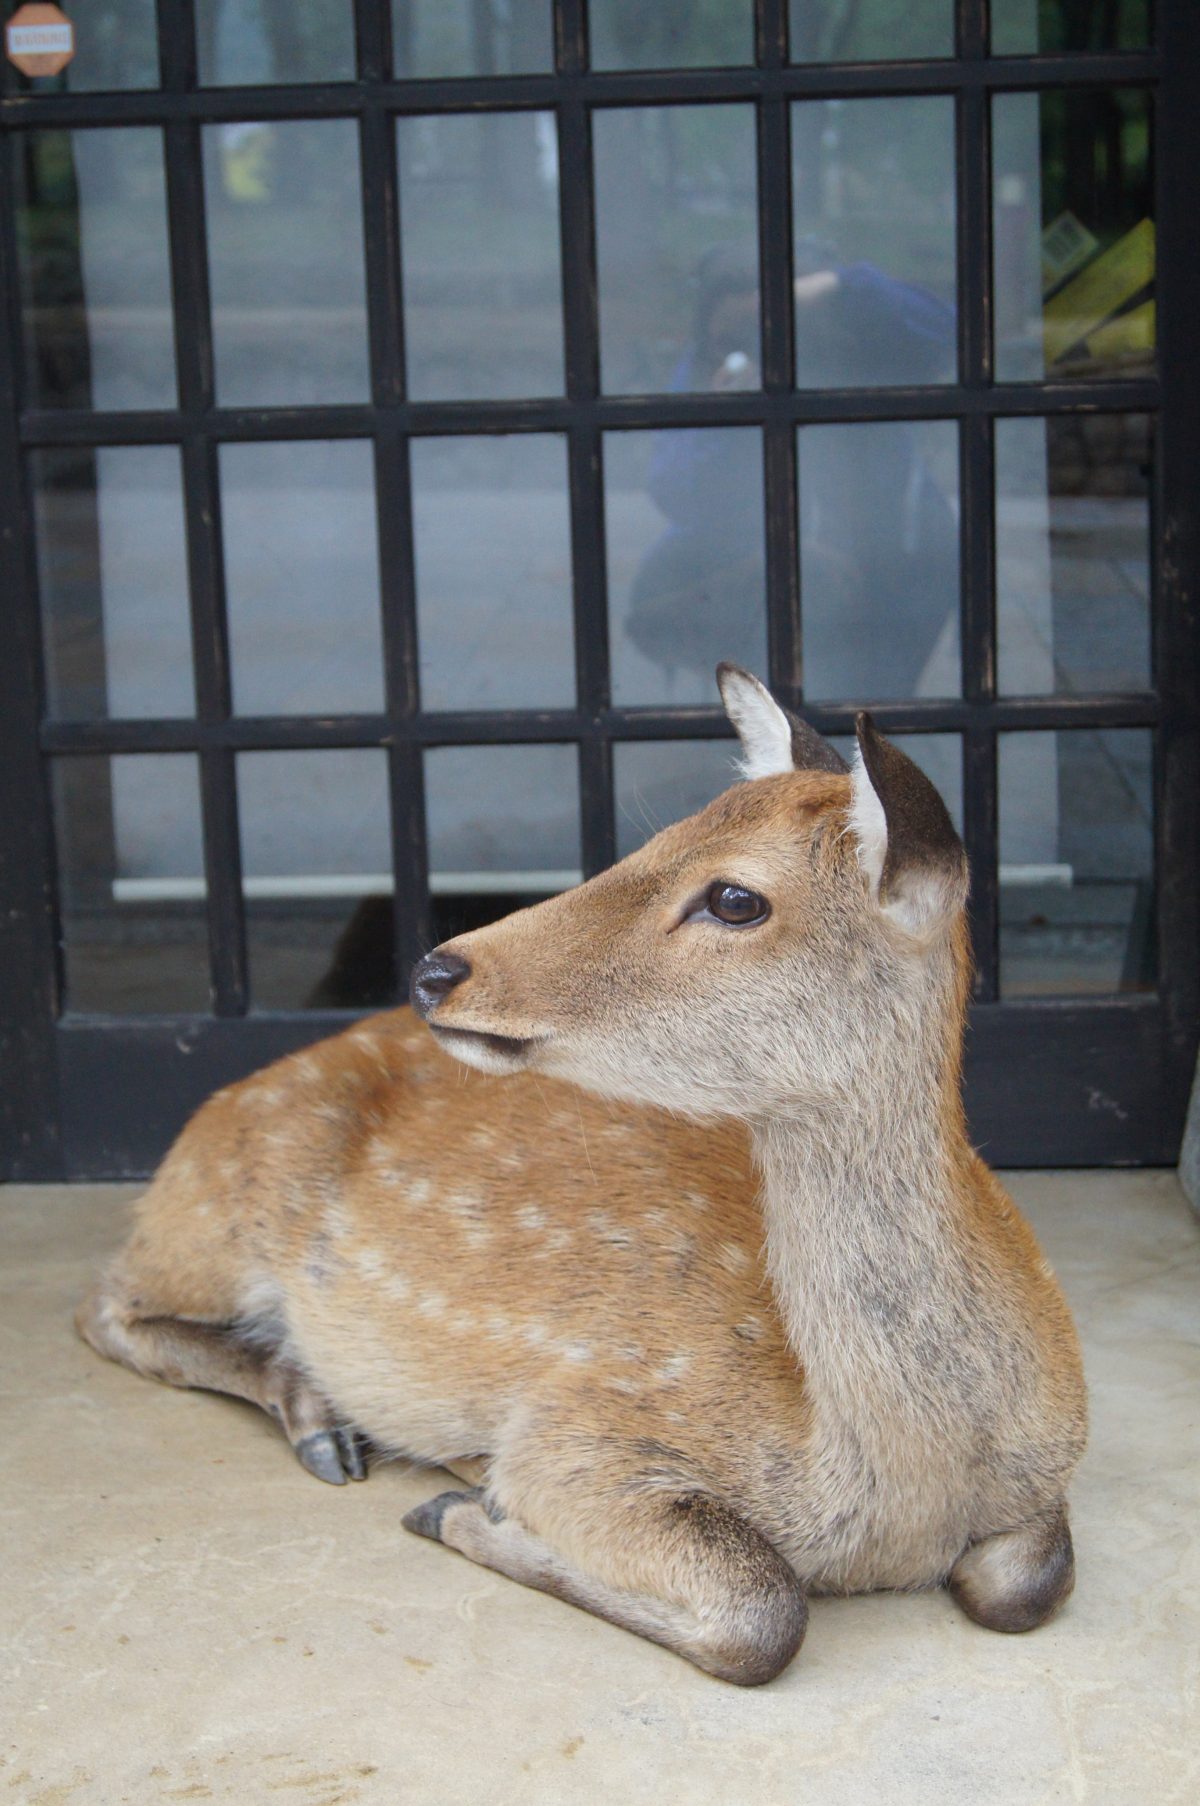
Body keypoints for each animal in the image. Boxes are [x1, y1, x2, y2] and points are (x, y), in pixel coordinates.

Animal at [76, 665, 1087, 1686]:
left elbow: (1027, 1581)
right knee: (102, 1306)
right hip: (210, 1211)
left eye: (735, 898)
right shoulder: (575, 1429)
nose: (438, 969)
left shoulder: (1051, 1470)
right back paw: (322, 1419)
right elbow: (762, 1607)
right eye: (656, 839)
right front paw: (463, 1504)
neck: (901, 1492)